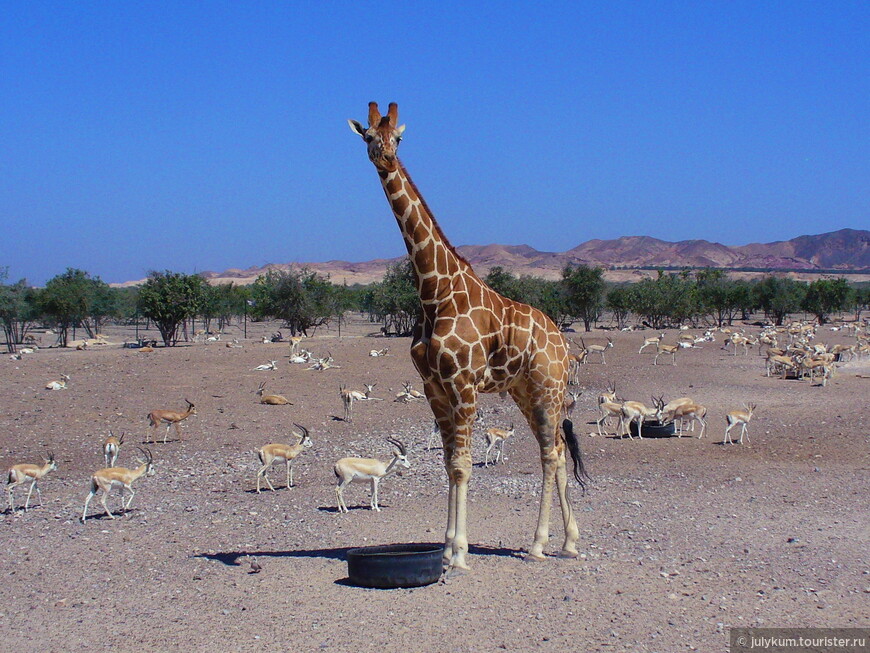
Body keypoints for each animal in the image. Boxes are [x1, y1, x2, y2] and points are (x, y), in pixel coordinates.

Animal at [350, 102, 588, 572]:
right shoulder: (433, 387)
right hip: (524, 391)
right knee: (554, 452)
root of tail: (562, 343)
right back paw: (569, 542)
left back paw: (538, 544)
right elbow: (448, 463)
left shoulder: (463, 383)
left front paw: (458, 553)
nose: (385, 156)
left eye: (398, 137)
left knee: (551, 454)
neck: (434, 293)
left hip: (548, 389)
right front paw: (445, 548)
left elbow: (462, 465)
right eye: (367, 135)